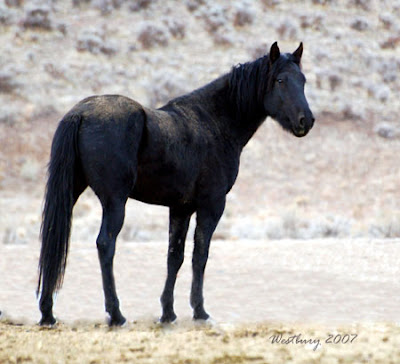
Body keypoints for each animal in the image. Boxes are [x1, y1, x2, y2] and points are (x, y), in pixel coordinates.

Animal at [37, 41, 314, 326]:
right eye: (280, 80)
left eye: (302, 80)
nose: (306, 120)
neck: (214, 122)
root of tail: (80, 113)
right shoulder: (211, 205)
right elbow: (199, 255)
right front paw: (199, 310)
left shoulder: (181, 209)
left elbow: (175, 256)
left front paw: (168, 312)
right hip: (115, 202)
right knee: (105, 244)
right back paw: (116, 314)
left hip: (72, 193)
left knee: (53, 239)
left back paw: (47, 313)